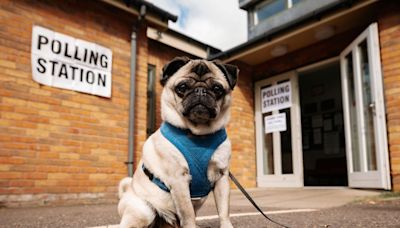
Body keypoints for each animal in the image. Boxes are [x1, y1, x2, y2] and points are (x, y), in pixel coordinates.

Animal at [118, 57, 238, 228]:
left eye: (217, 89)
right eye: (182, 87)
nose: (200, 90)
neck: (198, 135)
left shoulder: (221, 177)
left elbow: (223, 210)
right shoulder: (179, 180)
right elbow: (187, 213)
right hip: (143, 211)